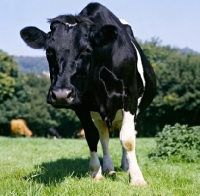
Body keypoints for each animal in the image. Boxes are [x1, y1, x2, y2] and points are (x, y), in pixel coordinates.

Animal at [20, 2, 155, 185]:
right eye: (49, 51)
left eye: (86, 50)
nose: (61, 94)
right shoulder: (80, 104)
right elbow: (92, 136)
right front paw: (95, 172)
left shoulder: (130, 97)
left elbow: (127, 139)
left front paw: (136, 178)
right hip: (98, 114)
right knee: (104, 136)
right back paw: (109, 168)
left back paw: (125, 165)